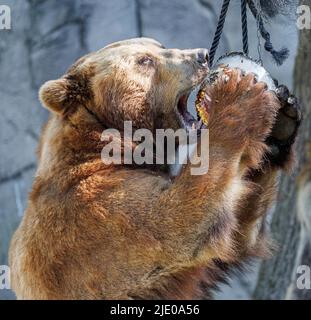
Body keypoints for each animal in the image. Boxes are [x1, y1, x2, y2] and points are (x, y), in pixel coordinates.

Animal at [10, 38, 302, 300]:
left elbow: (236, 235)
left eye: (159, 46)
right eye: (145, 60)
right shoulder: (95, 215)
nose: (201, 55)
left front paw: (281, 121)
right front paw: (239, 93)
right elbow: (183, 221)